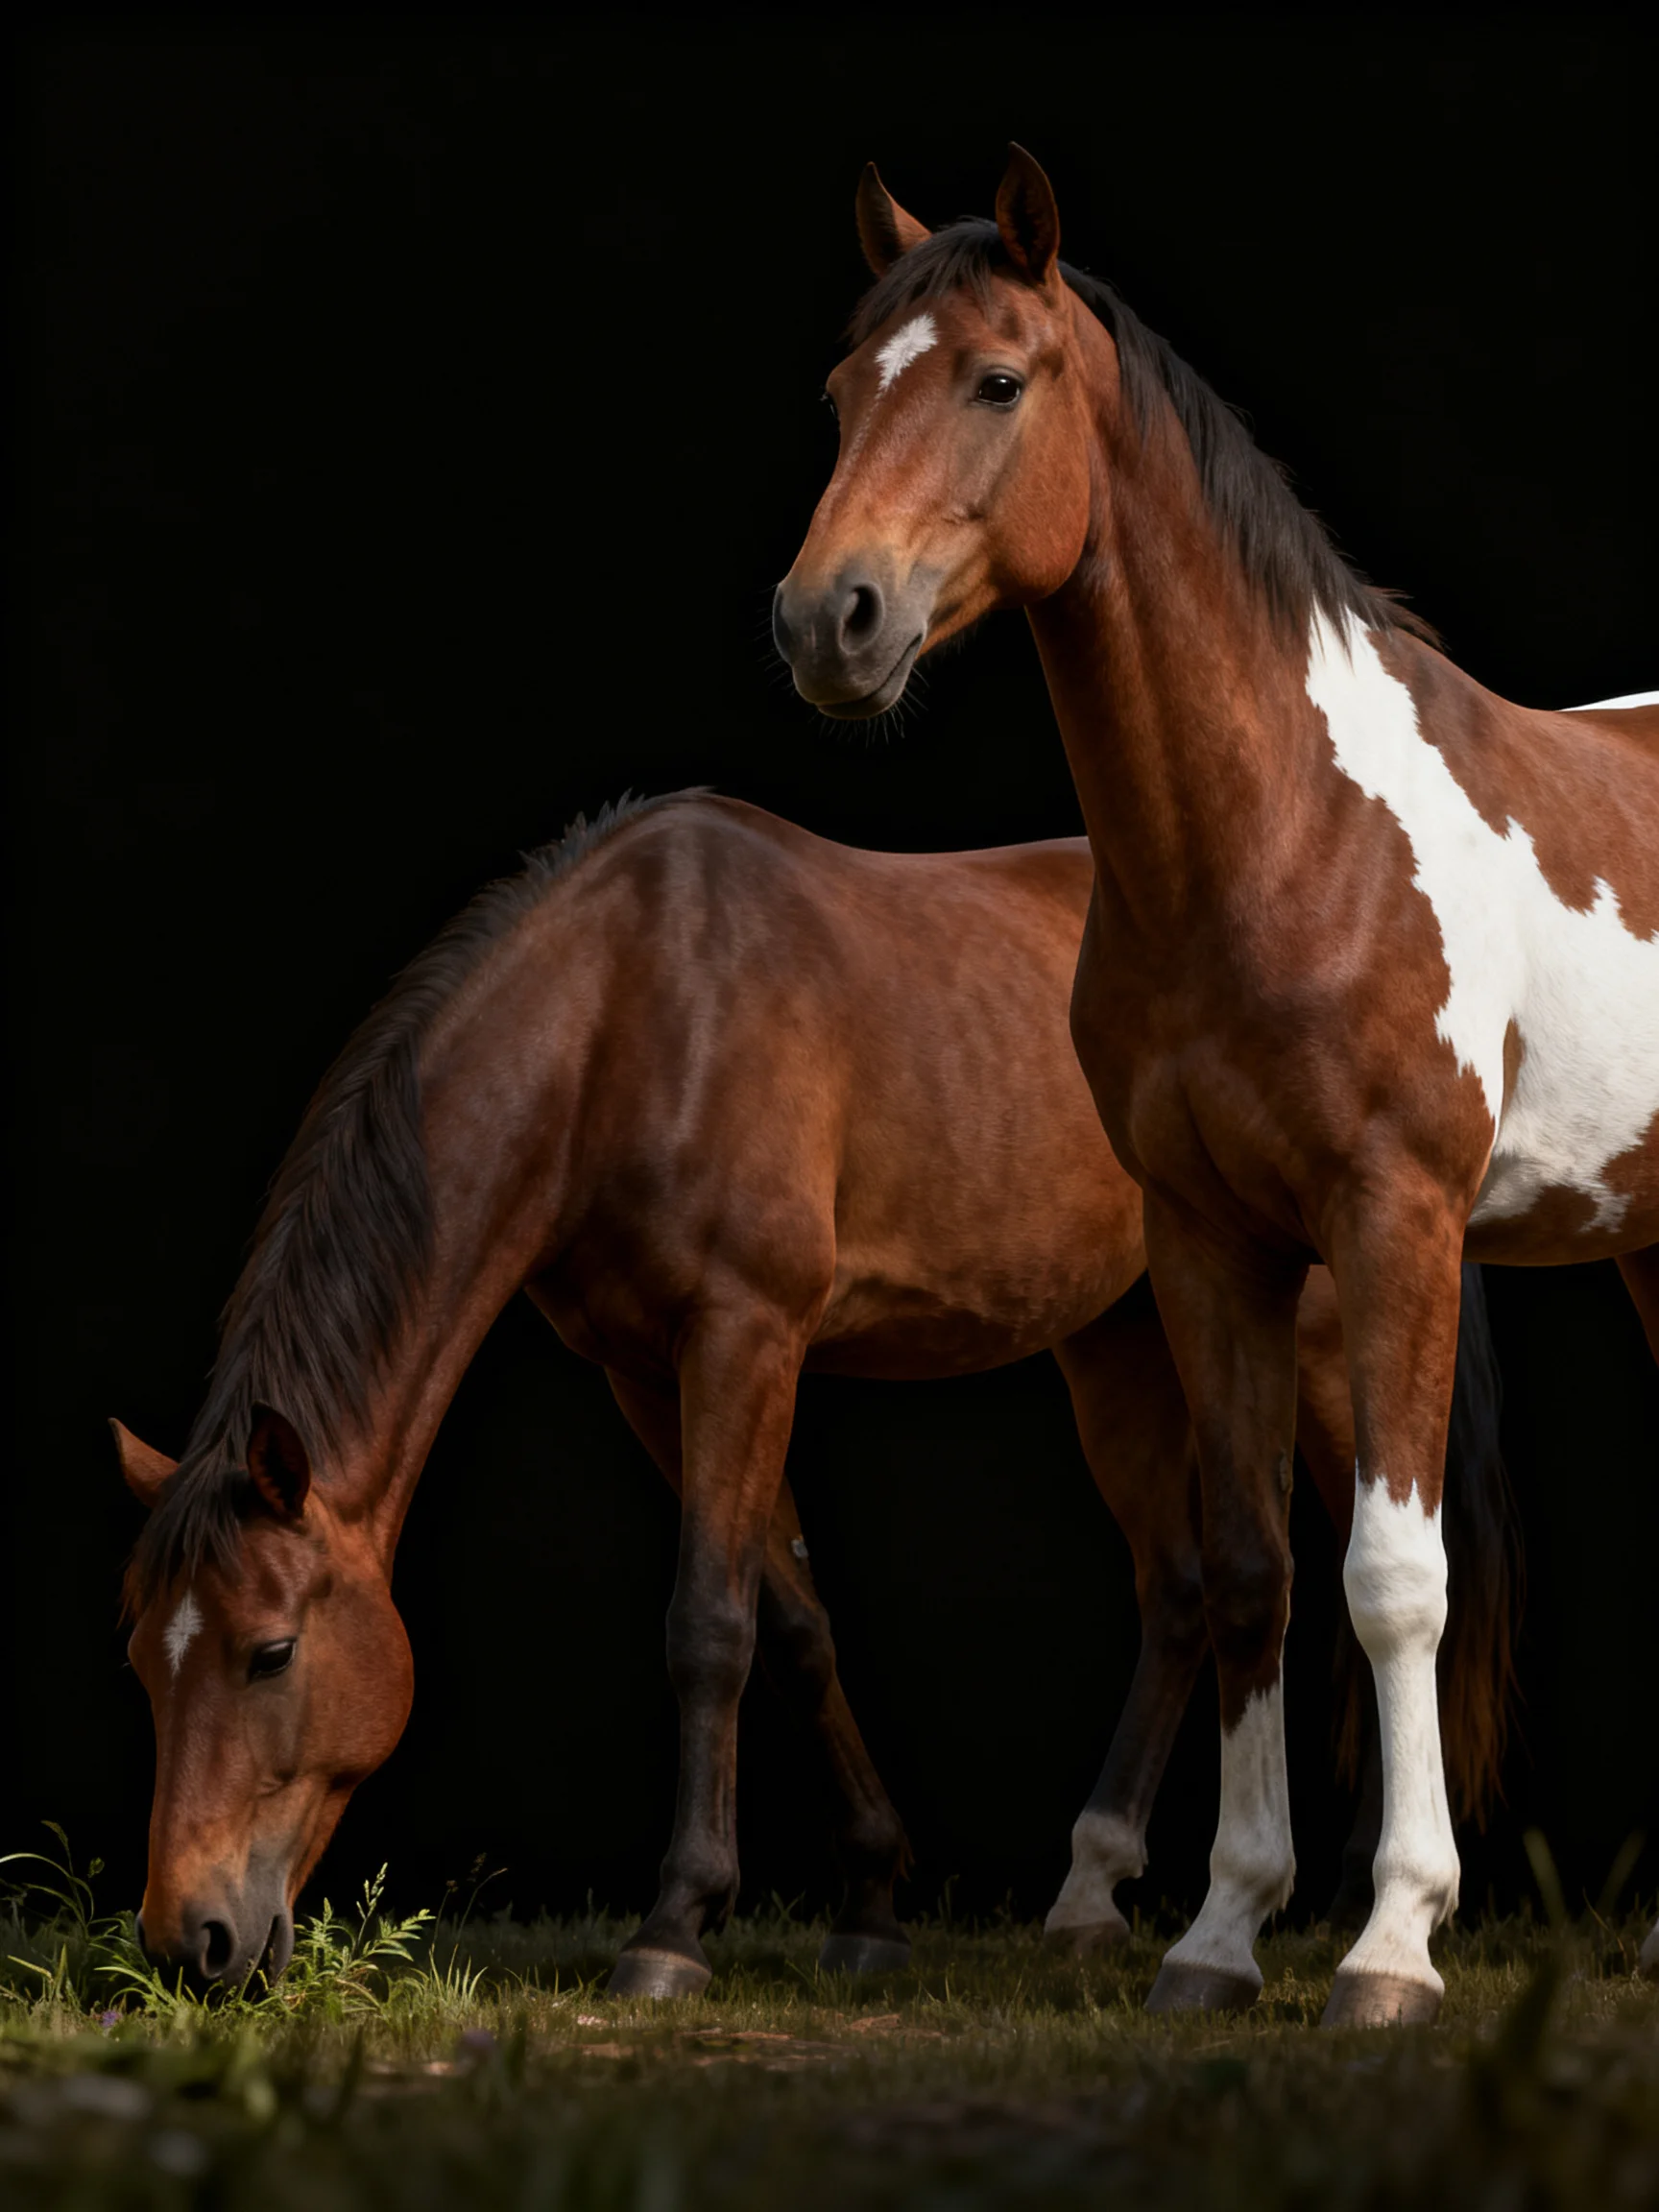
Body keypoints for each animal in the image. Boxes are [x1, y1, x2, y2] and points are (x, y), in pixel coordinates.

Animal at [114, 793, 1514, 2000]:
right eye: (139, 1656)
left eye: (271, 1652)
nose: (190, 1941)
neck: (626, 1014)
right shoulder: (648, 1370)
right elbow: (793, 1625)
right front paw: (874, 1903)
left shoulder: (747, 1337)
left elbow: (709, 1625)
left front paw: (674, 1926)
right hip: (1118, 1340)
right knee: (1177, 1593)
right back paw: (1090, 1891)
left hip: (1322, 1334)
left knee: (1366, 1569)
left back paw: (1365, 1896)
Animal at [772, 145, 1659, 2026]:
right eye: (839, 392)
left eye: (997, 380)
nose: (830, 620)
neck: (1279, 837)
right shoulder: (1206, 1243)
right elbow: (1250, 1570)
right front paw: (1219, 1929)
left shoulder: (1394, 1224)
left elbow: (1390, 1580)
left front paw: (1392, 1938)